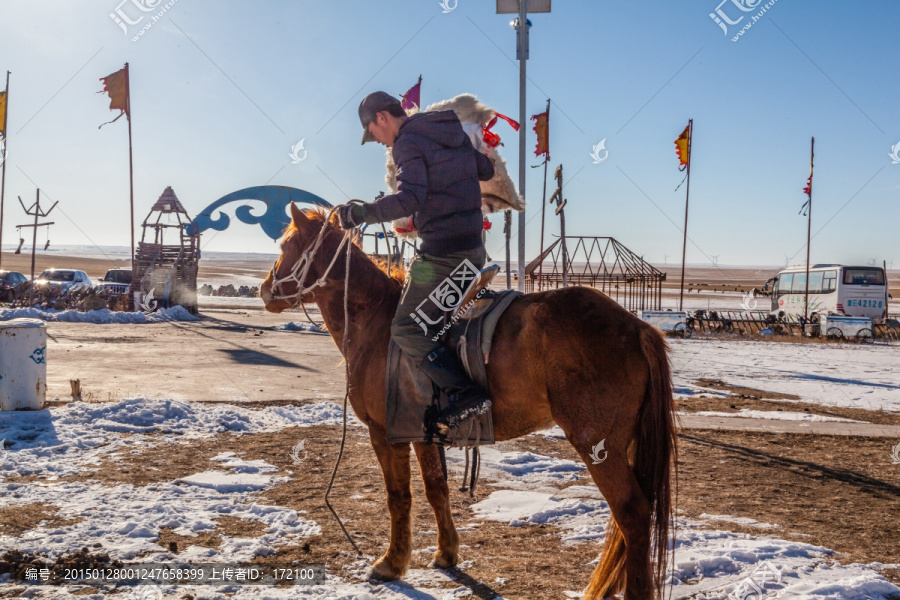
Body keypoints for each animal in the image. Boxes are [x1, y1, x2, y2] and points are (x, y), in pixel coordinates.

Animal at [260, 204, 676, 596]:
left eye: (285, 245)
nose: (264, 290)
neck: (374, 321)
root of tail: (637, 327)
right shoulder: (422, 434)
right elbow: (436, 490)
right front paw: (446, 553)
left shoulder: (386, 434)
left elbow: (399, 497)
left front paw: (391, 563)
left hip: (599, 446)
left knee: (632, 514)